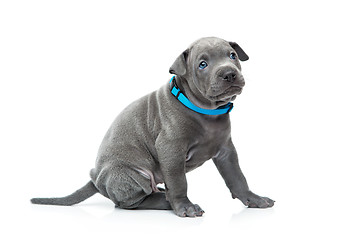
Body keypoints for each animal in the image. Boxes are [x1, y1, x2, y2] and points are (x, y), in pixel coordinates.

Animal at [32, 37, 274, 218]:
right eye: (202, 64)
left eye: (232, 55)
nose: (229, 73)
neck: (206, 111)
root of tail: (96, 178)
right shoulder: (171, 150)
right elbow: (179, 182)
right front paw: (185, 207)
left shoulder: (226, 152)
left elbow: (237, 178)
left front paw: (254, 199)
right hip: (131, 174)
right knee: (129, 202)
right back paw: (165, 201)